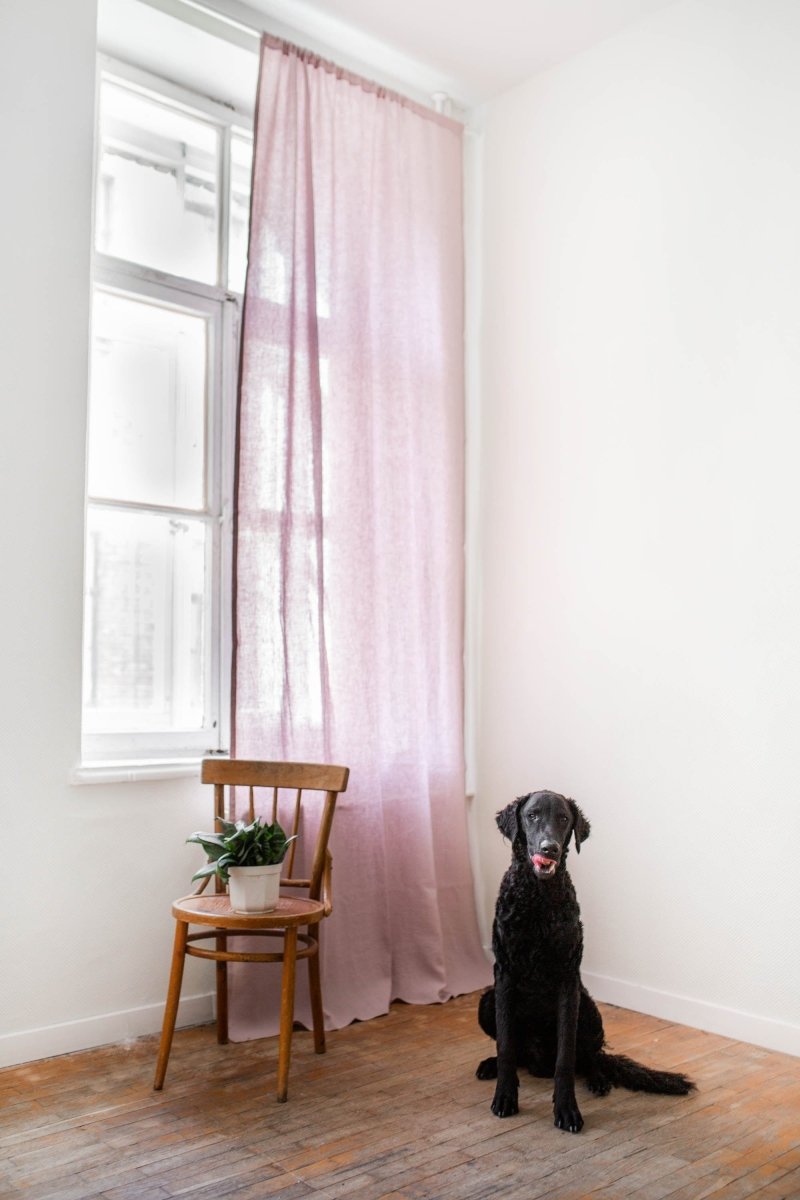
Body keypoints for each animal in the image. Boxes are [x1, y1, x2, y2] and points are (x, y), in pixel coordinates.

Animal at [474, 792, 695, 1128]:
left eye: (564, 818)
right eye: (532, 815)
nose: (549, 848)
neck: (539, 898)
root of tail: (538, 1061)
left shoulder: (568, 978)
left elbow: (566, 1057)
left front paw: (567, 1109)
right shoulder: (505, 974)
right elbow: (506, 1044)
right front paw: (505, 1096)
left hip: (588, 1007)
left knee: (590, 1055)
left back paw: (598, 1079)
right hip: (487, 1000)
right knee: (516, 1051)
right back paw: (491, 1064)